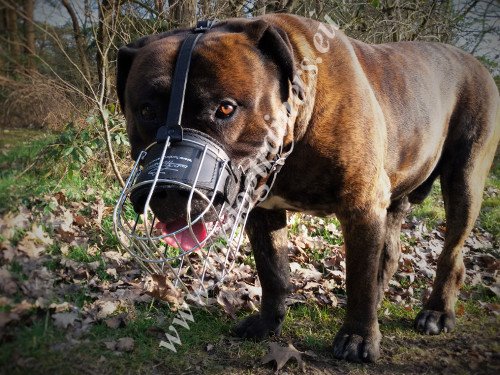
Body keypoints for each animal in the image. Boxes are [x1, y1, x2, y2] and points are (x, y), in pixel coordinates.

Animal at [118, 13, 500, 362]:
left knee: (451, 254)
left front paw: (359, 336)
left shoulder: (362, 207)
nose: (168, 189)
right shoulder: (263, 212)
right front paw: (268, 324)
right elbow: (272, 271)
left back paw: (437, 311)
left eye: (225, 108)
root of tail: (478, 65)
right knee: (389, 254)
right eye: (146, 111)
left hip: (465, 181)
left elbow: (359, 277)